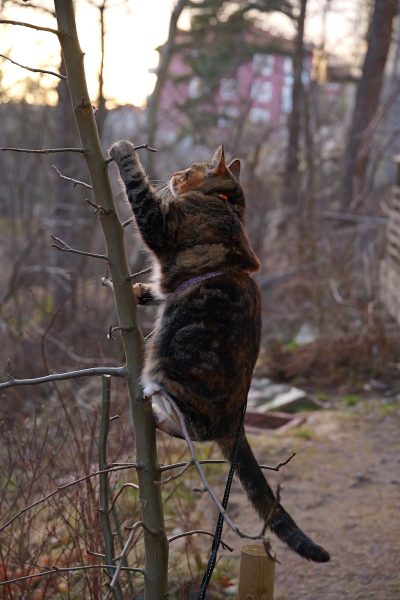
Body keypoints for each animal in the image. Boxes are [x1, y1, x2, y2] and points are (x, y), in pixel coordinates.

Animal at [108, 142, 330, 564]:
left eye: (187, 170)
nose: (173, 175)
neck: (225, 203)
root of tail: (236, 420)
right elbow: (161, 290)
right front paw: (141, 292)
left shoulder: (162, 224)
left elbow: (138, 189)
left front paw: (122, 150)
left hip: (171, 379)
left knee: (191, 429)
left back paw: (150, 411)